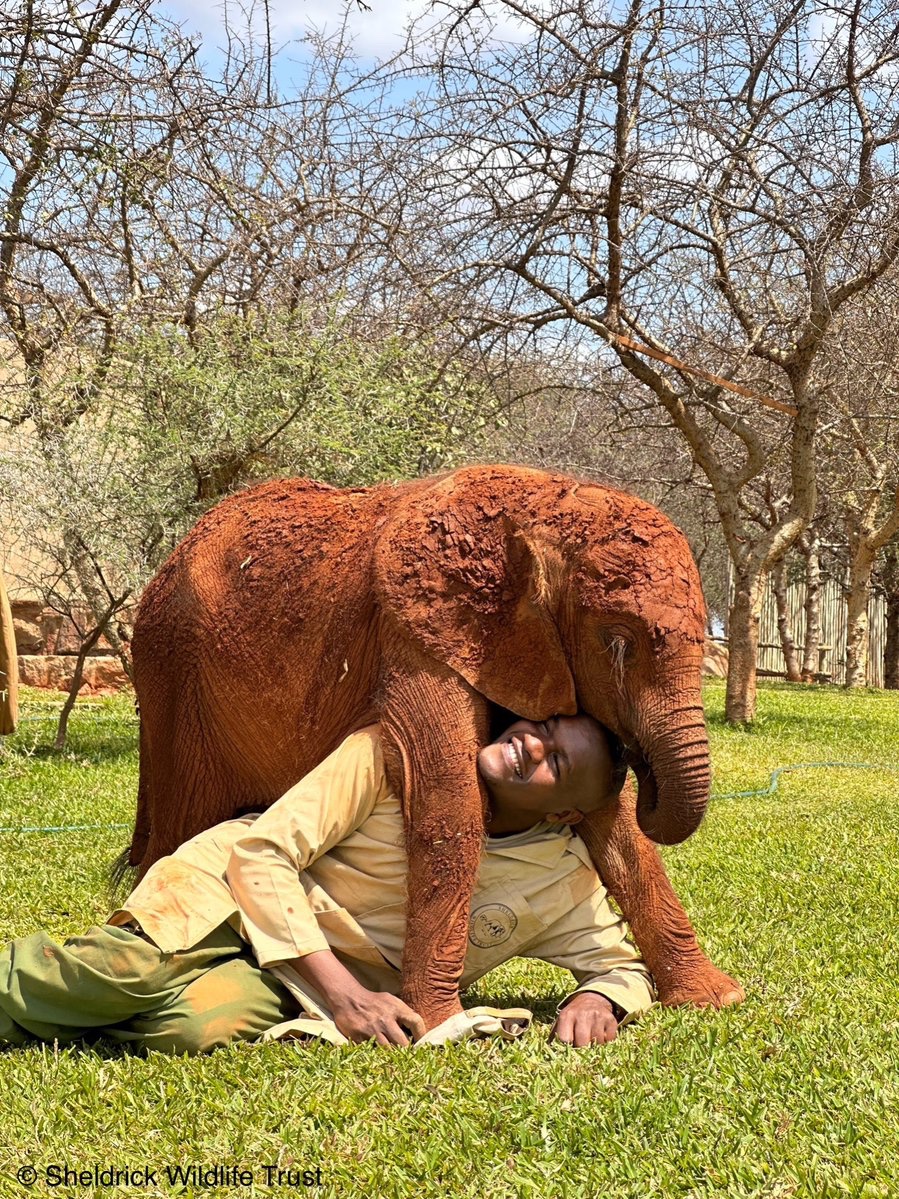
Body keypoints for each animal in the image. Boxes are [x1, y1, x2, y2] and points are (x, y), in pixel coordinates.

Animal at [128, 464, 743, 1030]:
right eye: (618, 640)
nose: (636, 761)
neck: (545, 506)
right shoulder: (417, 635)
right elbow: (449, 798)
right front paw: (438, 1021)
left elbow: (617, 831)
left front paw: (715, 1000)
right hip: (171, 671)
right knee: (185, 823)